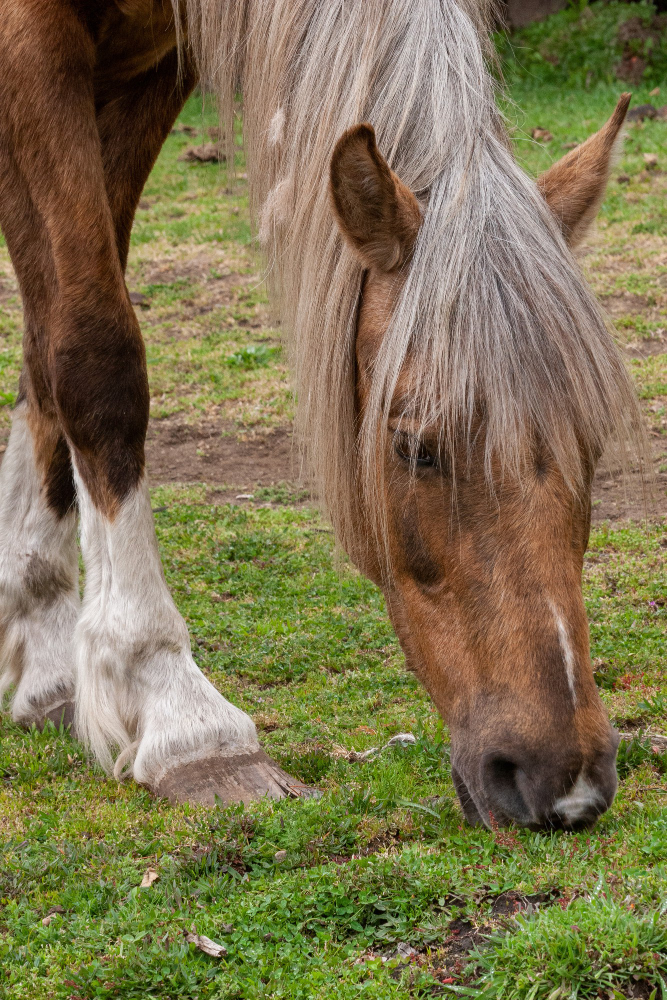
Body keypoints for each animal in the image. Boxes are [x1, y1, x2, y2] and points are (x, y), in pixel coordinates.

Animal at [0, 0, 645, 830]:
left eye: (589, 446)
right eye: (414, 447)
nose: (565, 786)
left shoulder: (150, 71)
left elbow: (45, 346)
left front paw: (43, 647)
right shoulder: (31, 46)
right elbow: (89, 352)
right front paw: (178, 712)